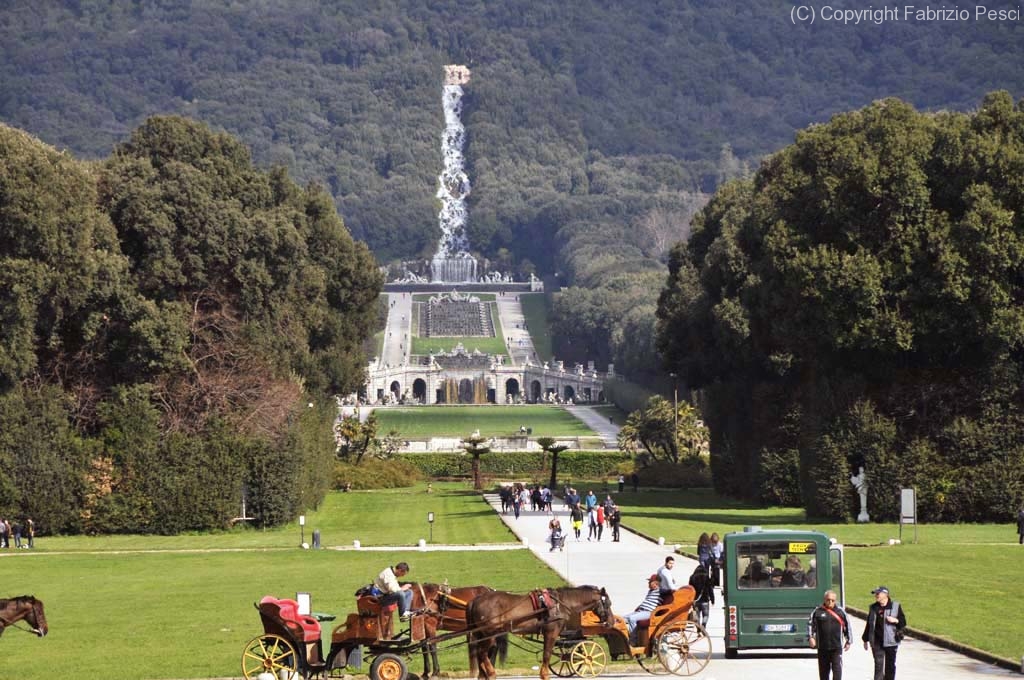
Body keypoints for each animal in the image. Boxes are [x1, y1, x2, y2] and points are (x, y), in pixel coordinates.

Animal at [468, 585, 610, 680]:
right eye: (608, 604)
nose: (610, 622)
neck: (559, 604)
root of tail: (476, 599)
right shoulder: (551, 633)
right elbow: (546, 654)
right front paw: (545, 675)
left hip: (482, 635)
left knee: (481, 654)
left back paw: (483, 674)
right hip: (489, 635)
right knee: (482, 652)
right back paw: (491, 673)